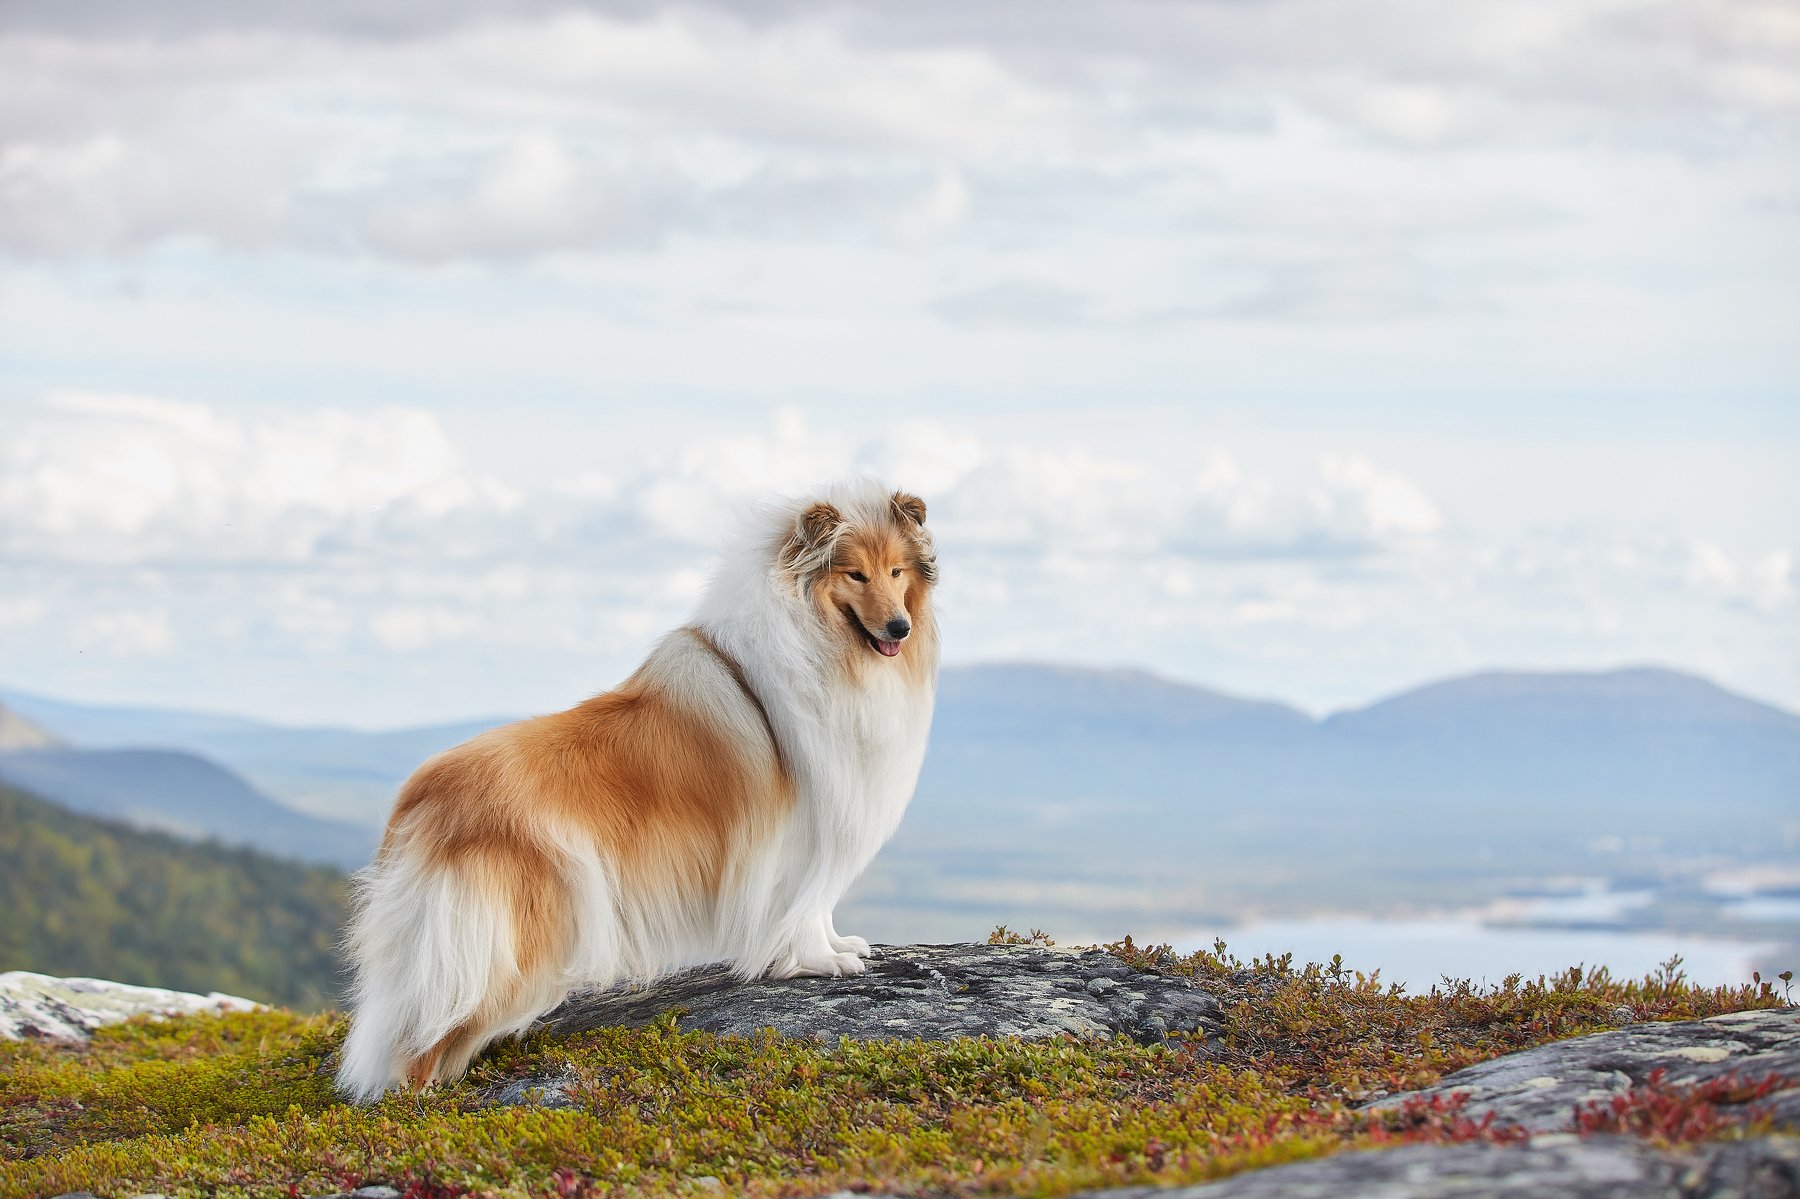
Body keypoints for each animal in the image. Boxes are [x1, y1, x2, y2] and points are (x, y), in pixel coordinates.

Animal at [333, 482, 943, 1094]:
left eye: (896, 571)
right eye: (855, 575)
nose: (900, 628)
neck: (821, 637)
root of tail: (420, 794)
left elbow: (818, 905)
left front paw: (838, 946)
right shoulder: (801, 836)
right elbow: (800, 906)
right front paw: (818, 961)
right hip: (508, 943)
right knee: (425, 1038)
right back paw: (421, 1099)